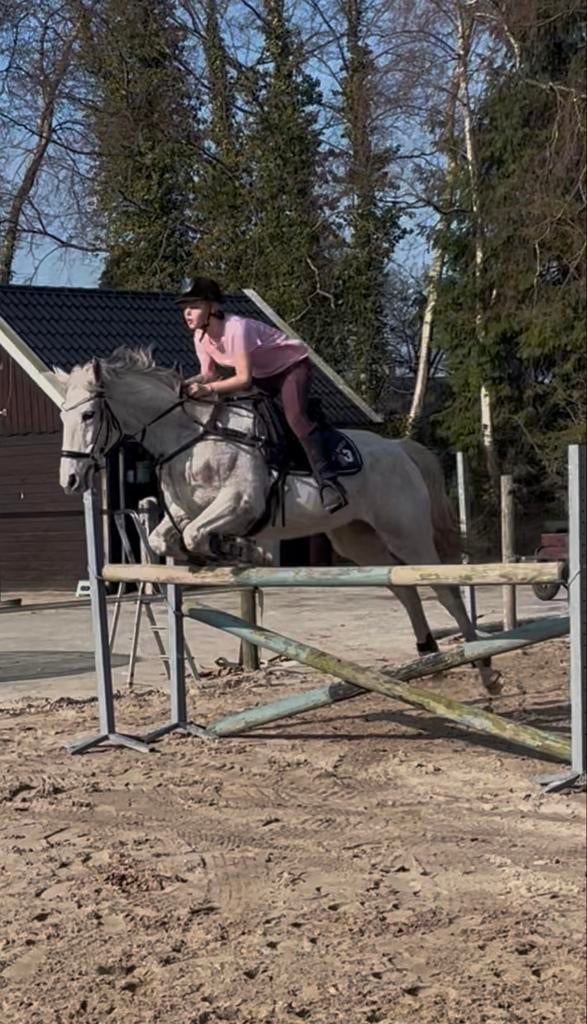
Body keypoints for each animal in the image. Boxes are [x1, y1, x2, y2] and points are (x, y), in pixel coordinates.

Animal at [57, 347, 500, 693]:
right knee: (403, 588)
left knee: (444, 588)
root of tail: (400, 449)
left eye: (89, 415)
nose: (71, 480)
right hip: (356, 539)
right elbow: (168, 539)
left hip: (406, 533)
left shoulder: (240, 502)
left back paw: (484, 668)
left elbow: (199, 534)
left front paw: (239, 550)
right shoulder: (184, 512)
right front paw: (229, 551)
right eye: (63, 416)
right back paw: (428, 652)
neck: (190, 436)